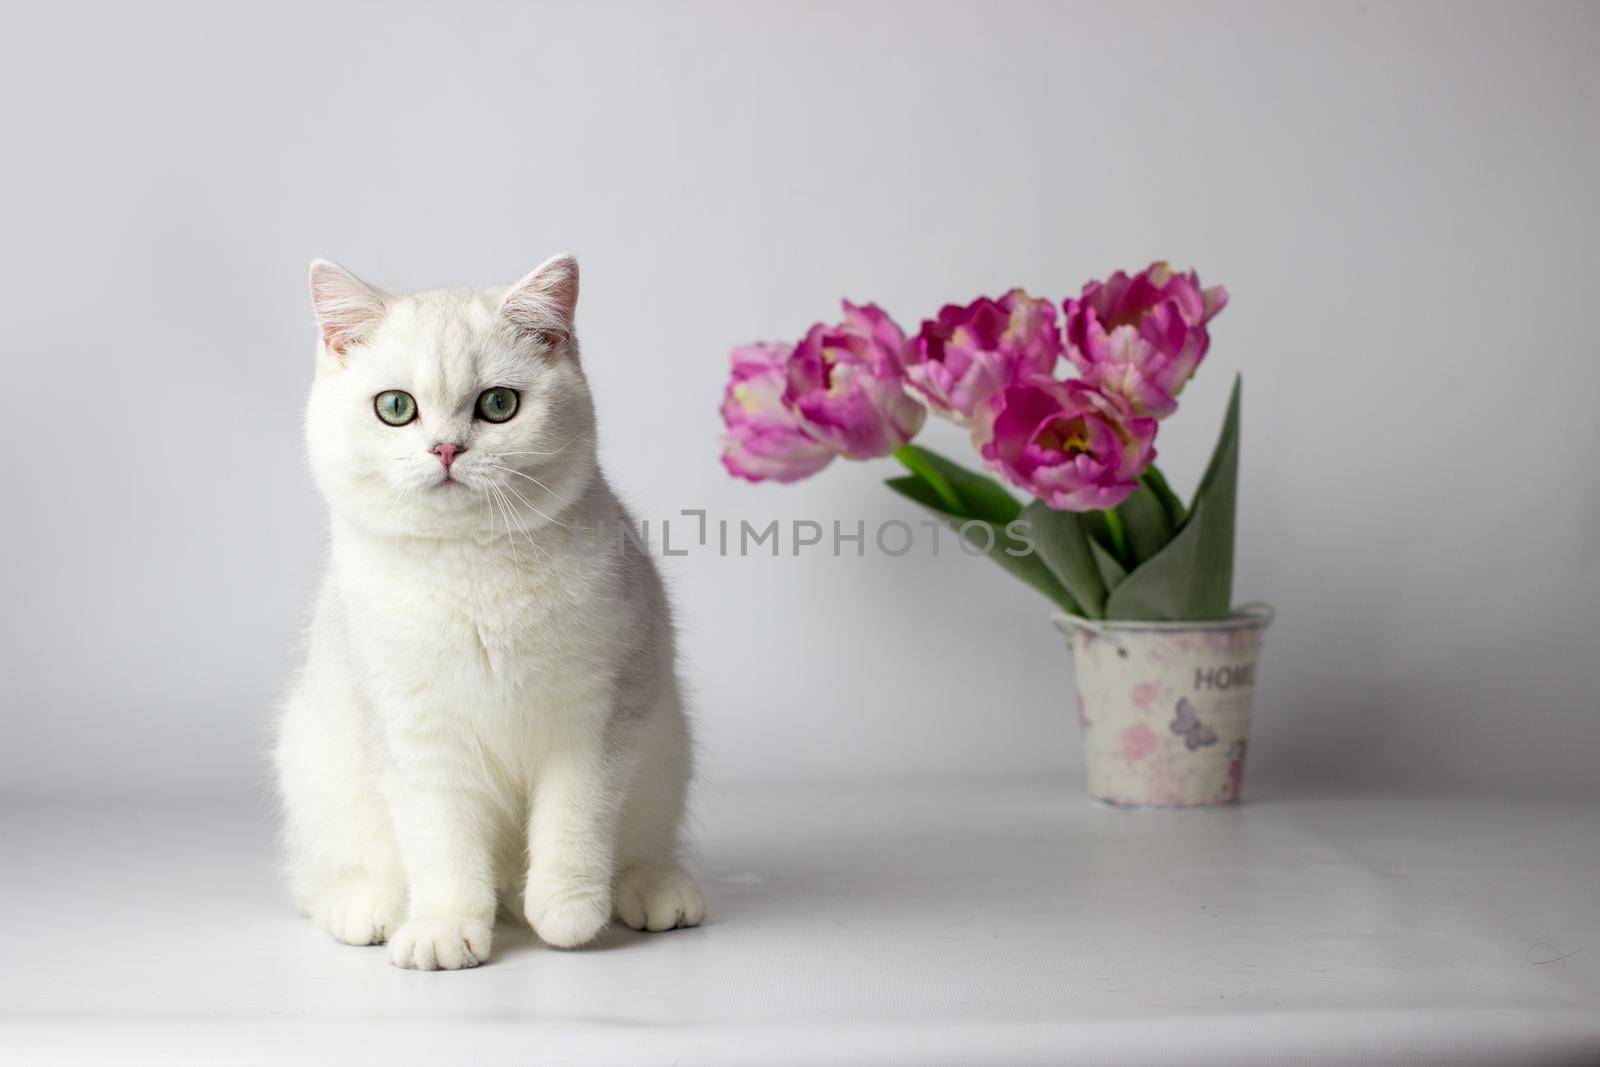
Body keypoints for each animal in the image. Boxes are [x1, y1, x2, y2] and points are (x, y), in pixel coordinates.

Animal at [278, 254, 704, 972]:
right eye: (396, 408)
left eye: (498, 405)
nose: (447, 449)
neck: (472, 571)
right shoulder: (417, 733)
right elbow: (444, 842)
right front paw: (446, 929)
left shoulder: (596, 717)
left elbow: (574, 820)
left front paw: (567, 911)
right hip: (311, 759)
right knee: (315, 878)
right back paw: (368, 906)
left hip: (665, 753)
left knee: (639, 844)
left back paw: (653, 889)